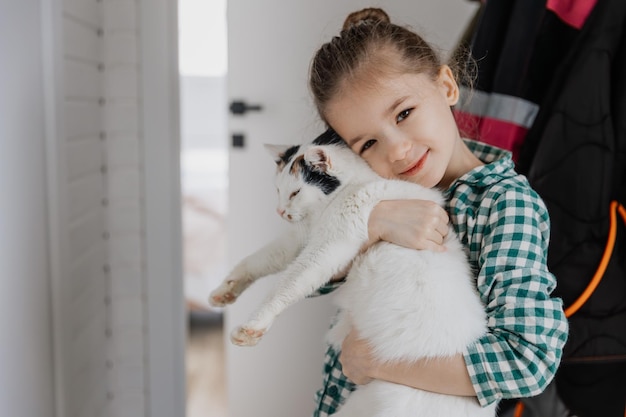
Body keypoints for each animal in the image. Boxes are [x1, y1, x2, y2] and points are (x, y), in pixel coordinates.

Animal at [208, 129, 492, 416]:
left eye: (295, 192)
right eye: (278, 190)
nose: (280, 212)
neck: (354, 185)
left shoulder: (327, 248)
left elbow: (287, 286)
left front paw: (252, 327)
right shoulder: (300, 238)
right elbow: (256, 261)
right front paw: (224, 291)